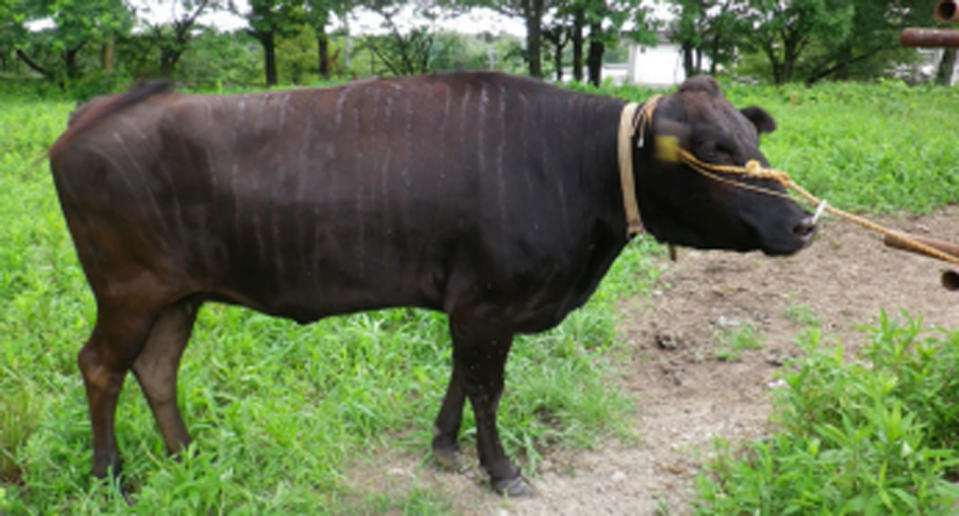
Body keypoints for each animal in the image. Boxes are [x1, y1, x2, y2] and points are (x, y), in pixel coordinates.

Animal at [50, 72, 816, 496]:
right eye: (712, 150)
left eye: (752, 143)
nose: (804, 222)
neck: (575, 166)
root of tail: (99, 108)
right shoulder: (489, 301)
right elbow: (486, 386)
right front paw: (500, 468)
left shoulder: (468, 302)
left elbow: (460, 376)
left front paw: (445, 447)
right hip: (128, 290)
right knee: (101, 367)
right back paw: (111, 477)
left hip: (176, 295)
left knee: (156, 368)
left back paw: (187, 457)